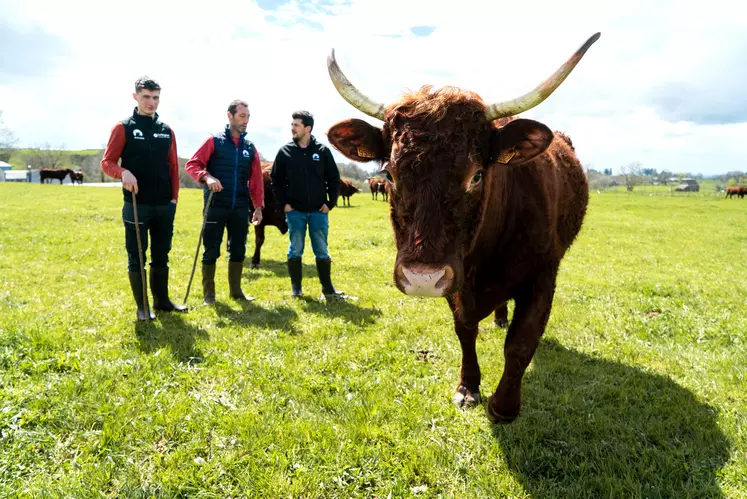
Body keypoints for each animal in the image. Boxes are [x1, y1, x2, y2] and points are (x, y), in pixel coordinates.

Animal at [328, 32, 600, 422]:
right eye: (389, 174)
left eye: (477, 175)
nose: (422, 278)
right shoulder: (455, 282)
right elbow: (464, 330)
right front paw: (468, 387)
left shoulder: (542, 275)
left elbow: (520, 344)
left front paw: (503, 407)